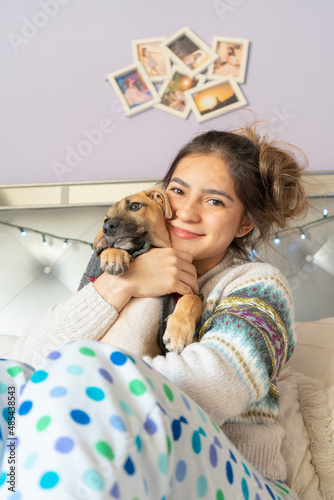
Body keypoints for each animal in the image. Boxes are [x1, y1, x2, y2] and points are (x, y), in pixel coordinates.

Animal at [95, 188, 202, 356]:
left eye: (134, 206)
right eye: (106, 219)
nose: (107, 227)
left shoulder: (187, 289)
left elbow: (193, 298)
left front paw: (178, 332)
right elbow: (108, 248)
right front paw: (114, 256)